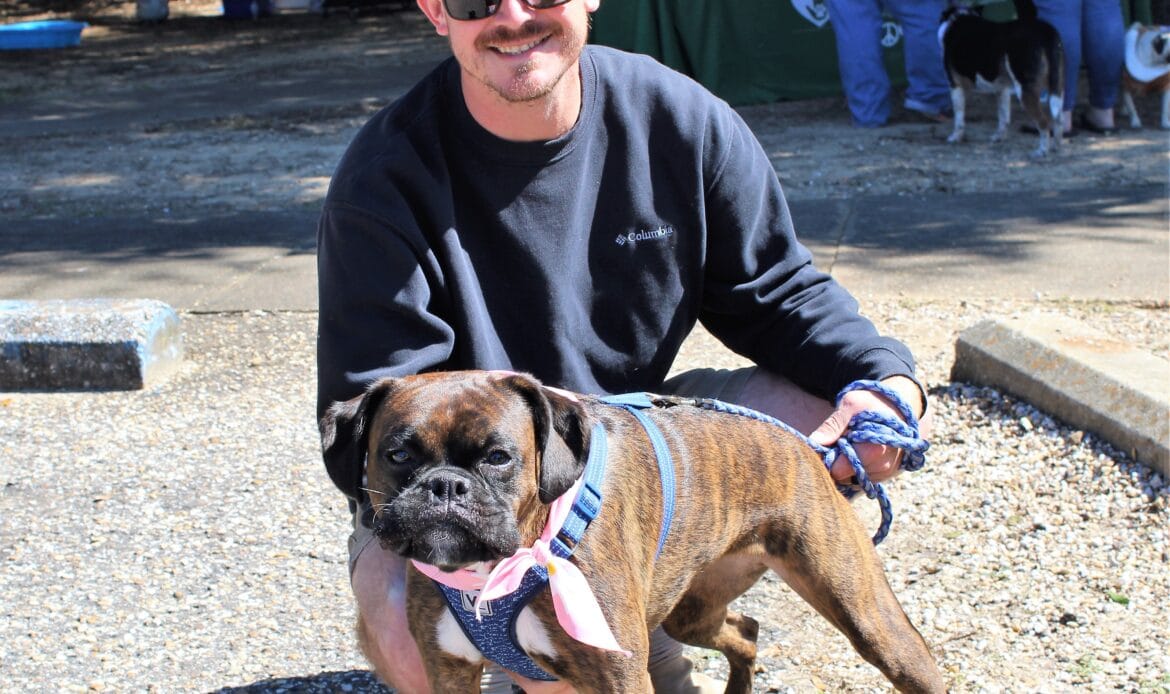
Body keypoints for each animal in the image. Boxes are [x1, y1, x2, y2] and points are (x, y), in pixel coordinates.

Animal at [320, 370, 946, 692]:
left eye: (499, 458)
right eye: (397, 454)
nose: (446, 486)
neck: (498, 574)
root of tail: (805, 445)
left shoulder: (618, 675)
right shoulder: (449, 671)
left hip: (865, 615)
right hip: (691, 611)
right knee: (744, 630)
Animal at [939, 0, 1065, 157]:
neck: (958, 18)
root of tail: (1045, 31)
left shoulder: (955, 85)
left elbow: (959, 118)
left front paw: (955, 138)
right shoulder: (1002, 89)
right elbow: (1004, 117)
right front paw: (999, 137)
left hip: (1025, 90)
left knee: (1043, 122)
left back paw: (1041, 151)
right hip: (1057, 86)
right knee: (1058, 119)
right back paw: (1056, 147)